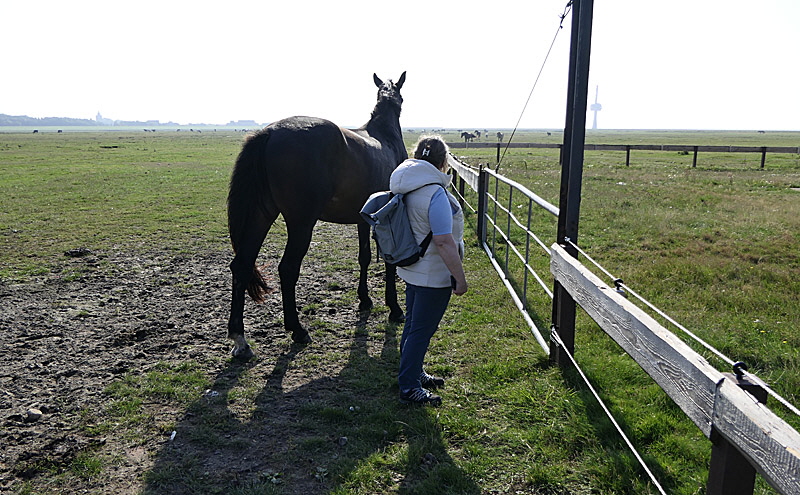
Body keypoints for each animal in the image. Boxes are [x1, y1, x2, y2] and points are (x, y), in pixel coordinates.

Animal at [228, 72, 410, 360]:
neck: (385, 137)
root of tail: (269, 132)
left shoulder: (362, 219)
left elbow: (364, 257)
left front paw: (365, 299)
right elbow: (389, 261)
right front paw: (395, 308)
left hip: (260, 216)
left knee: (242, 265)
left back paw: (240, 339)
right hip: (301, 223)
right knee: (287, 268)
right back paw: (297, 329)